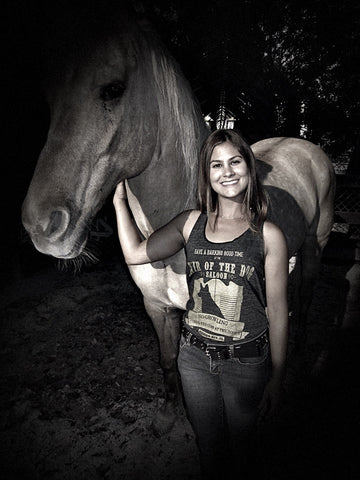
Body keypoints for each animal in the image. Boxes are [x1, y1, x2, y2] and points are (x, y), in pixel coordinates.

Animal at [21, 8, 334, 436]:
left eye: (113, 88)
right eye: (50, 98)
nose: (41, 226)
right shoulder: (157, 308)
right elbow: (168, 362)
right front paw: (170, 413)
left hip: (315, 246)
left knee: (305, 294)